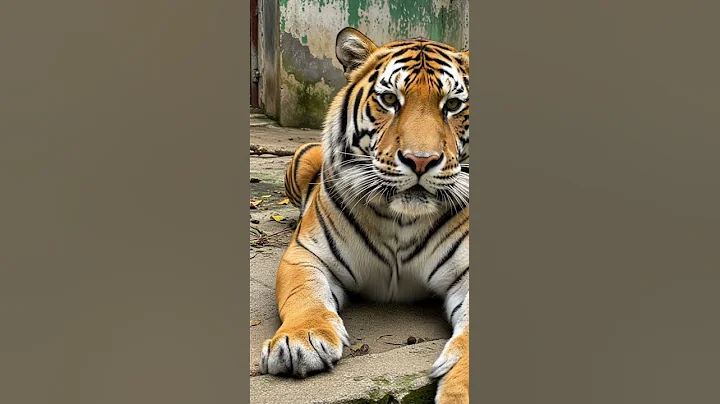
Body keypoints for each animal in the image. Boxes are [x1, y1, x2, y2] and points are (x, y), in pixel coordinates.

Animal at [260, 27, 470, 404]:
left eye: (453, 105)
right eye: (389, 99)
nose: (420, 160)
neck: (402, 220)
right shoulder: (306, 254)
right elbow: (305, 295)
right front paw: (299, 340)